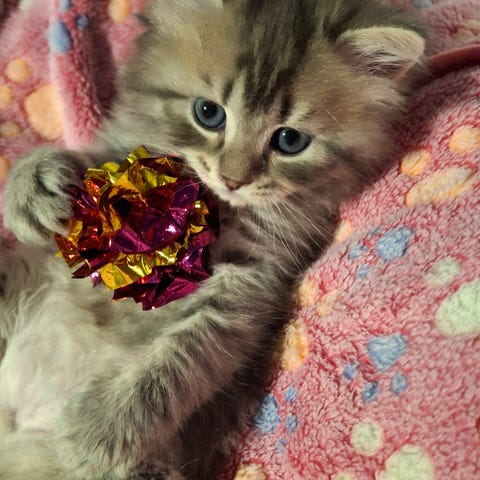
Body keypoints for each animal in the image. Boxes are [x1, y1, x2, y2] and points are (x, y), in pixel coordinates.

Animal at [0, 1, 425, 479]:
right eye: (208, 113)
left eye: (290, 140)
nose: (233, 179)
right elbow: (97, 160)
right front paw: (35, 183)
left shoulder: (252, 280)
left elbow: (184, 355)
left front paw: (101, 428)